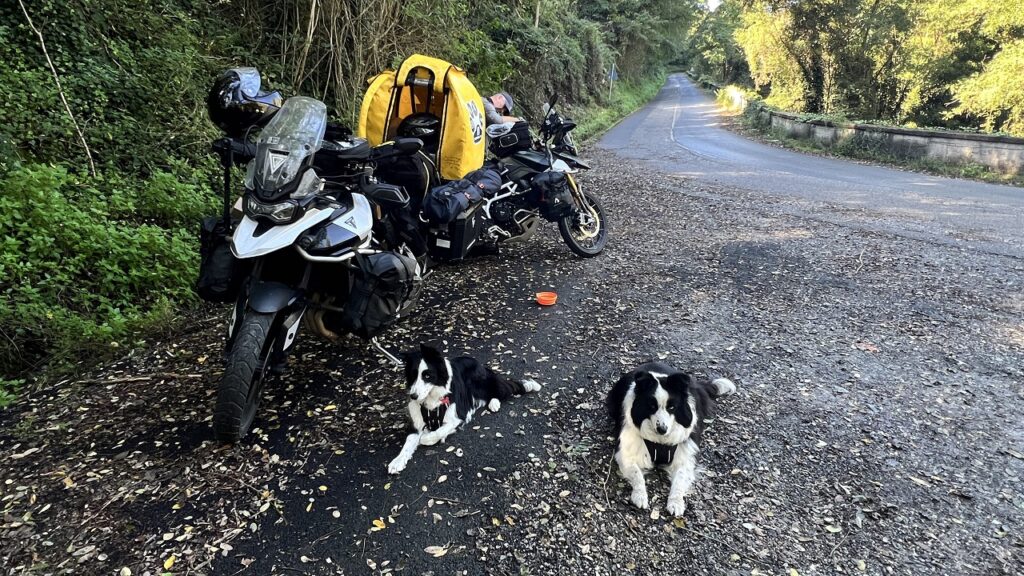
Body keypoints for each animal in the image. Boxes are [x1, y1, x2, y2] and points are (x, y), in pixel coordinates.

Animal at [385, 342, 544, 473]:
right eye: (413, 375)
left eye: (427, 376)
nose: (413, 396)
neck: (432, 399)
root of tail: (479, 363)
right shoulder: (417, 421)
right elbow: (408, 443)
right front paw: (397, 461)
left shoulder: (457, 417)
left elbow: (437, 433)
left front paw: (425, 438)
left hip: (482, 384)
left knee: (500, 391)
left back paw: (496, 402)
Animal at [606, 360, 737, 512]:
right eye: (651, 406)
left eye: (671, 407)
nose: (662, 429)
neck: (659, 441)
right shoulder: (626, 453)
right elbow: (636, 473)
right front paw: (640, 496)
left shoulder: (685, 456)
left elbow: (680, 478)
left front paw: (676, 503)